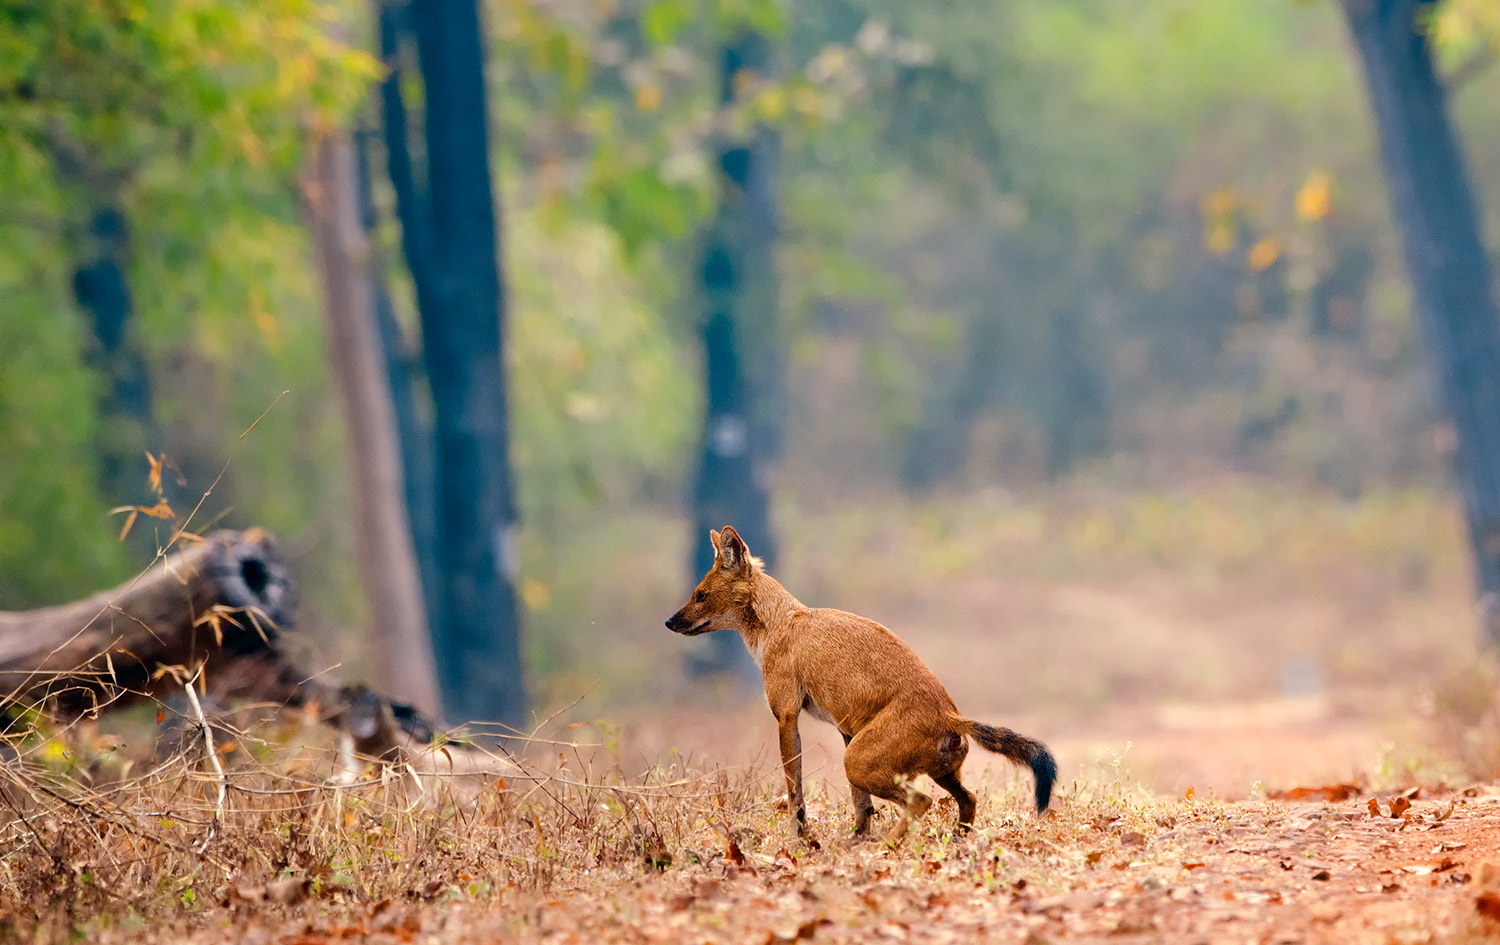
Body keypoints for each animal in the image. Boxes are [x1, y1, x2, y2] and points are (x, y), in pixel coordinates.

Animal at [669, 525, 1056, 846]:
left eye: (700, 595)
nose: (669, 622)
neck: (779, 622)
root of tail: (950, 715)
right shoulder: (846, 728)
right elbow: (861, 803)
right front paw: (855, 838)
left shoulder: (787, 716)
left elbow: (795, 791)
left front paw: (800, 840)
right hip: (933, 770)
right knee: (969, 799)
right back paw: (955, 841)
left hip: (858, 760)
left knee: (921, 801)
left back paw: (889, 846)